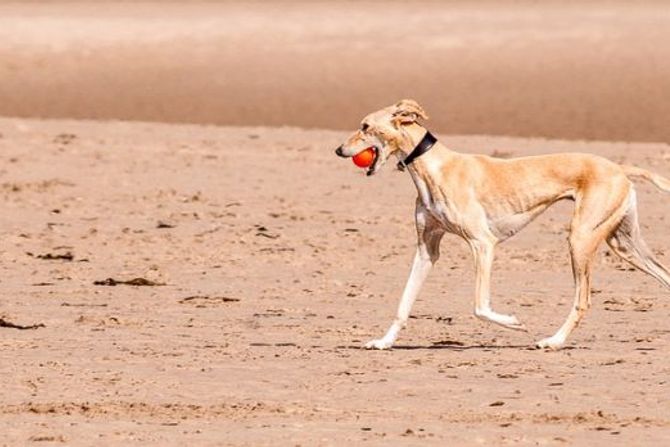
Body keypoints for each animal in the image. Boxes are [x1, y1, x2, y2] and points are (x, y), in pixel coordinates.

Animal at [336, 100, 670, 352]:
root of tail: (619, 168)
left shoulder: (483, 243)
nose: (339, 150)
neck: (434, 167)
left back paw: (553, 341)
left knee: (583, 300)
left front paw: (514, 322)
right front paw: (383, 342)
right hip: (624, 243)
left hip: (581, 239)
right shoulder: (426, 250)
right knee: (665, 275)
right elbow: (404, 303)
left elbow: (480, 307)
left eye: (365, 126)